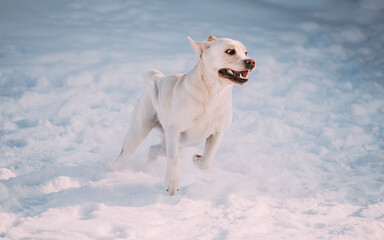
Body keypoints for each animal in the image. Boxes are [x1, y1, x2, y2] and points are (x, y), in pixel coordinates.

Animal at [111, 35, 255, 195]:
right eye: (230, 51)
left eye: (246, 52)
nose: (251, 62)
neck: (213, 93)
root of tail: (157, 77)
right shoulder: (174, 129)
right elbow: (174, 159)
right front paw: (172, 183)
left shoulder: (218, 132)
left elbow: (207, 160)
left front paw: (197, 159)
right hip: (139, 132)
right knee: (124, 156)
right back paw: (112, 172)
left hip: (179, 143)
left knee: (153, 149)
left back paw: (152, 168)